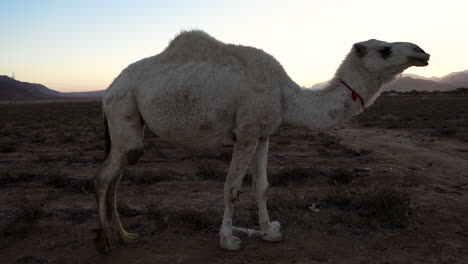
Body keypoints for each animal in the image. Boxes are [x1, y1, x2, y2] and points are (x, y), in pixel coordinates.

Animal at [93, 28, 430, 252]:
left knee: (118, 174)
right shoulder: (245, 132)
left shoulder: (264, 134)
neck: (286, 94)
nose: (421, 51)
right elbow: (231, 189)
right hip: (123, 111)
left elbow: (262, 186)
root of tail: (109, 89)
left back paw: (125, 236)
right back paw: (105, 239)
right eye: (385, 49)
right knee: (104, 177)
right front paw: (229, 239)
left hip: (131, 128)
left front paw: (269, 232)